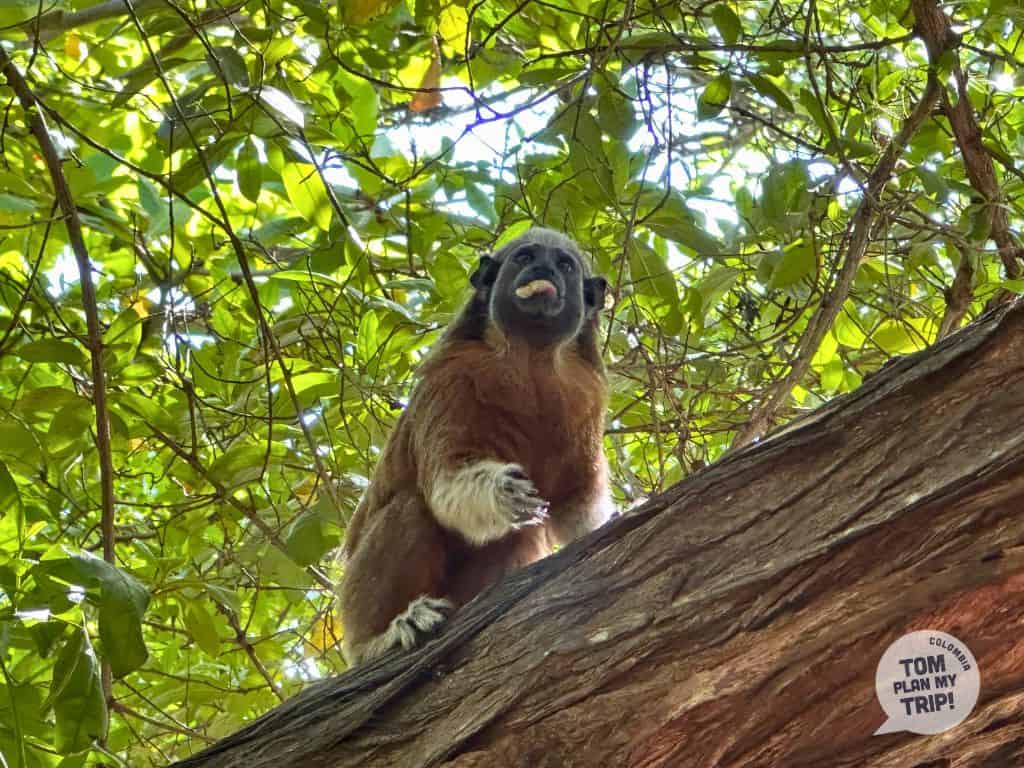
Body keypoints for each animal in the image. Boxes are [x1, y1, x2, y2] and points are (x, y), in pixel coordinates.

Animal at [337, 227, 613, 666]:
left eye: (564, 265)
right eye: (526, 258)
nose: (543, 270)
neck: (531, 360)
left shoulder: (585, 398)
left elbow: (576, 508)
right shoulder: (453, 377)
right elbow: (448, 486)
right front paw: (504, 491)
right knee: (410, 506)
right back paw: (379, 639)